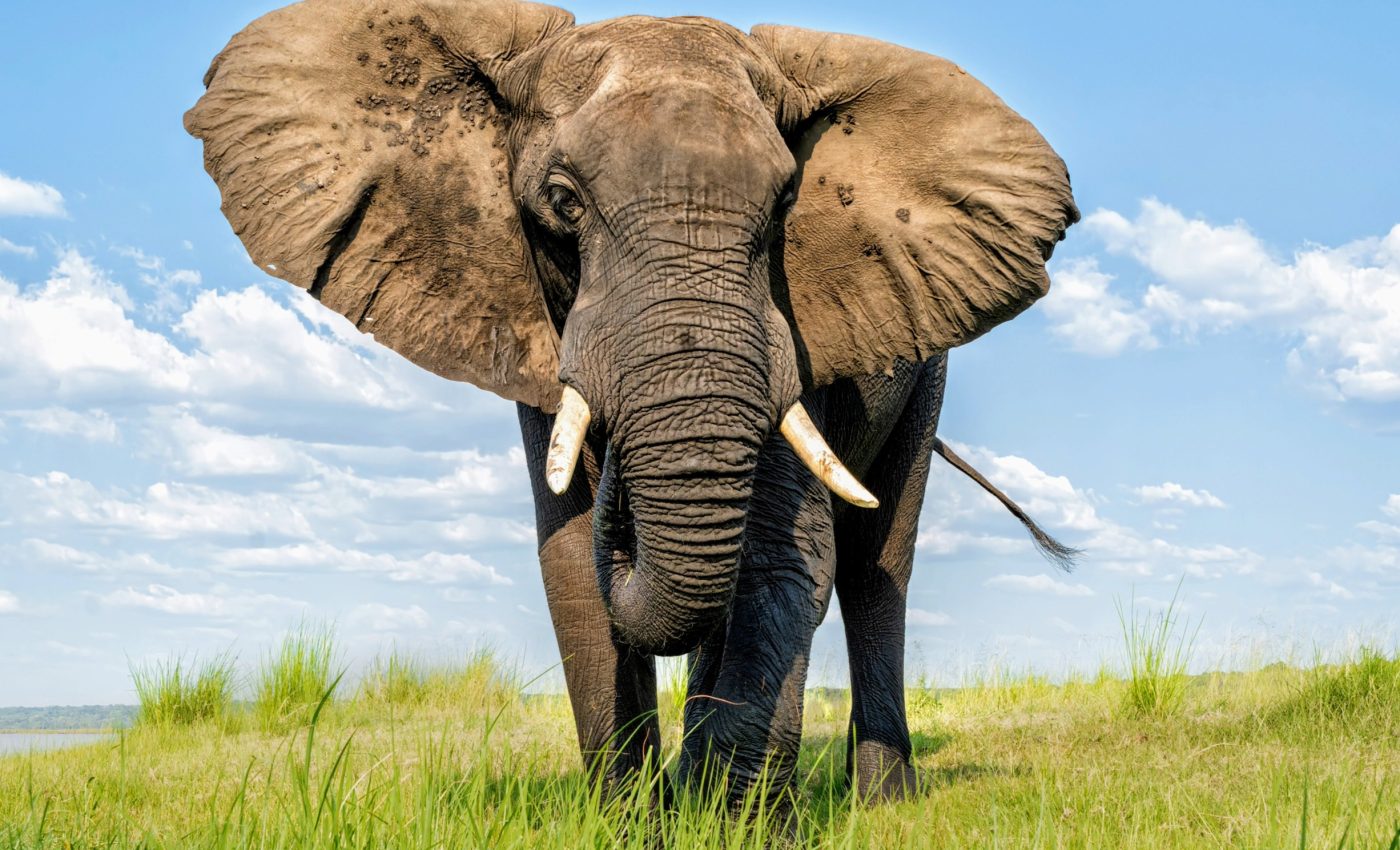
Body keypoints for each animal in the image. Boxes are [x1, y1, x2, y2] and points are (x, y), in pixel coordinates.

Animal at [185, 0, 1078, 809]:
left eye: (786, 206)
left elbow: (785, 556)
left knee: (873, 568)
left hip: (927, 371)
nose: (615, 460)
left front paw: (729, 823)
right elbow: (573, 564)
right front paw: (642, 819)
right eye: (562, 201)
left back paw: (881, 803)